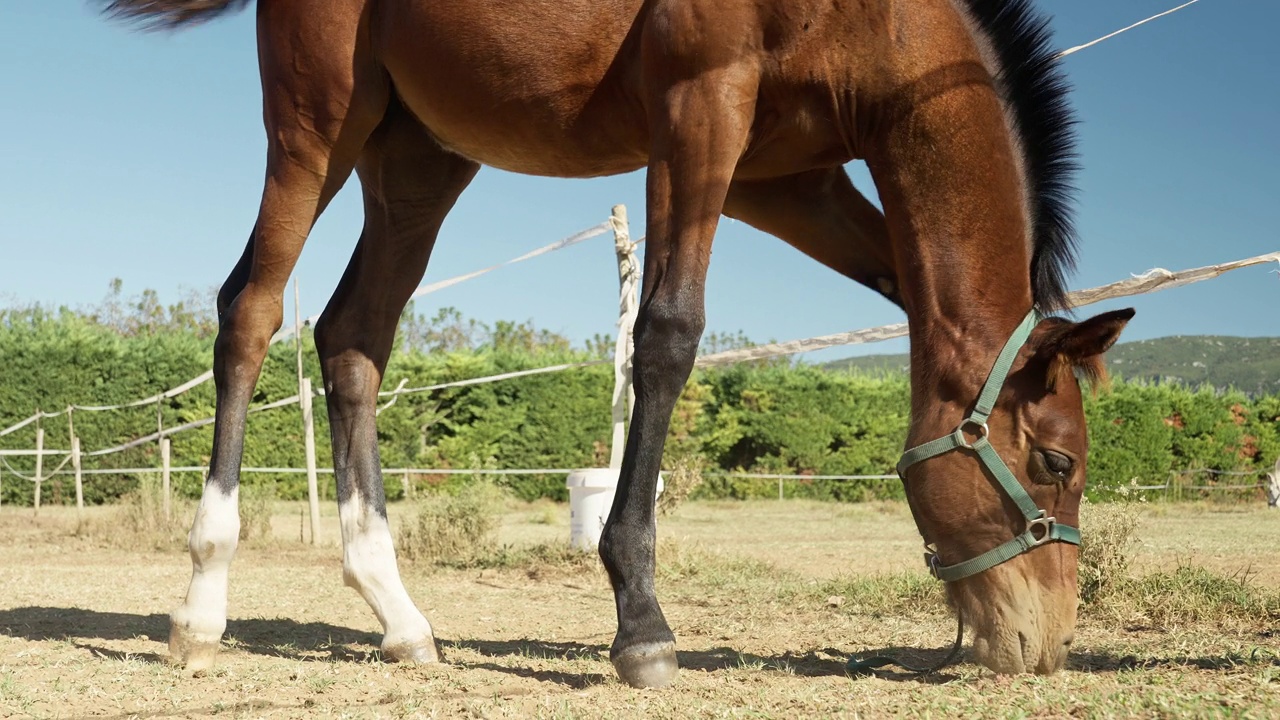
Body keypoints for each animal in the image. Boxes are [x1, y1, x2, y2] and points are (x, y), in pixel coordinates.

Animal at [102, 0, 1141, 681]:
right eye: (1054, 463)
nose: (1045, 645)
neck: (869, 15)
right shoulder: (699, 109)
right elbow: (670, 333)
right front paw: (640, 622)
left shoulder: (784, 178)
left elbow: (904, 292)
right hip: (318, 122)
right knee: (251, 310)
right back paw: (202, 608)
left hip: (420, 154)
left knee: (355, 335)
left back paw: (399, 617)